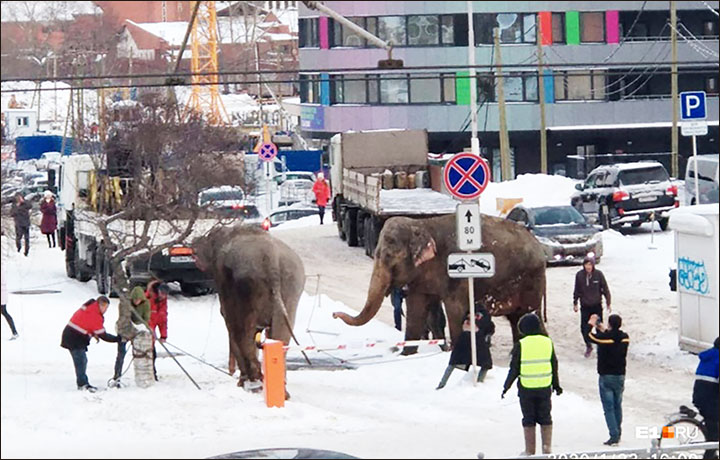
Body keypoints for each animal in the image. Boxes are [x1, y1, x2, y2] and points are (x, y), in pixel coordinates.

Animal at [193, 225, 305, 391]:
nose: (193, 242)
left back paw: (253, 382)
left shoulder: (223, 279)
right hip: (292, 284)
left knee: (243, 329)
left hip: (248, 286)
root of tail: (271, 258)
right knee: (280, 335)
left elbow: (228, 319)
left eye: (209, 236)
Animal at [333, 214, 546, 352]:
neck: (422, 225)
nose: (334, 314)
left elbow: (455, 311)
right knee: (517, 320)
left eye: (389, 257)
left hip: (530, 281)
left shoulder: (454, 273)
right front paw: (406, 354)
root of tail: (539, 247)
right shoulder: (421, 278)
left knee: (527, 316)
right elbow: (416, 309)